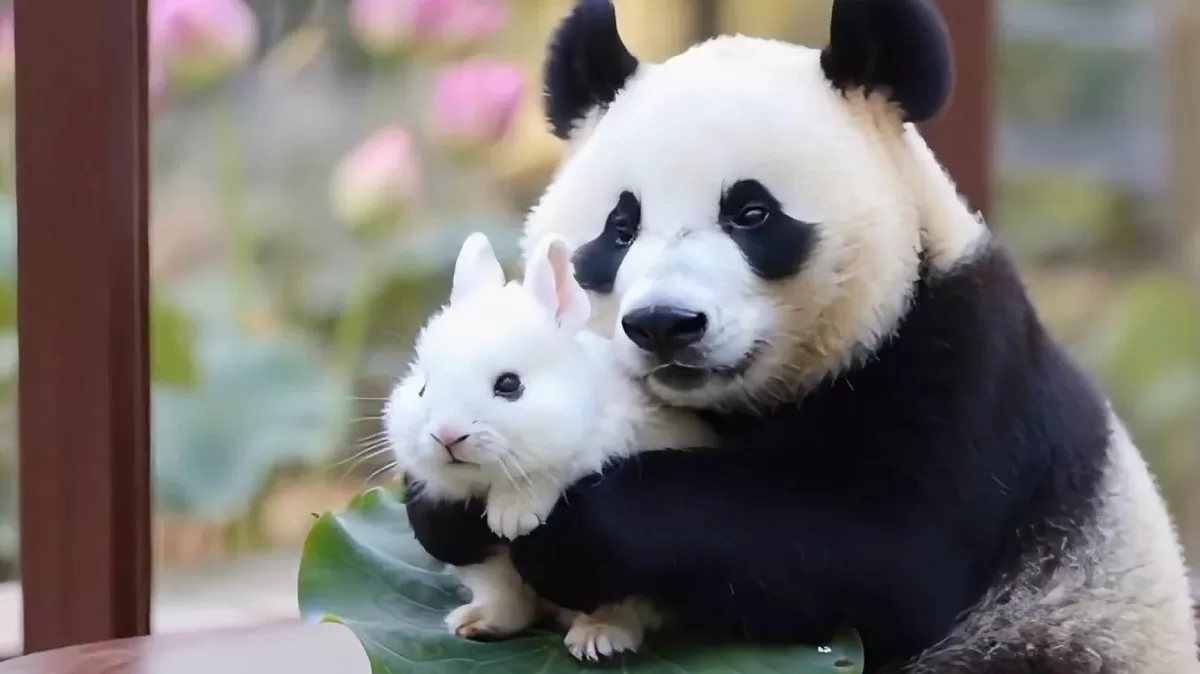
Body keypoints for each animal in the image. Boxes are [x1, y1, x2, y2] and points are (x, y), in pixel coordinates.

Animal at [501, 0, 1200, 671]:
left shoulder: (965, 375)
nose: (664, 324)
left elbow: (881, 552)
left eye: (751, 213)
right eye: (620, 229)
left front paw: (565, 533)